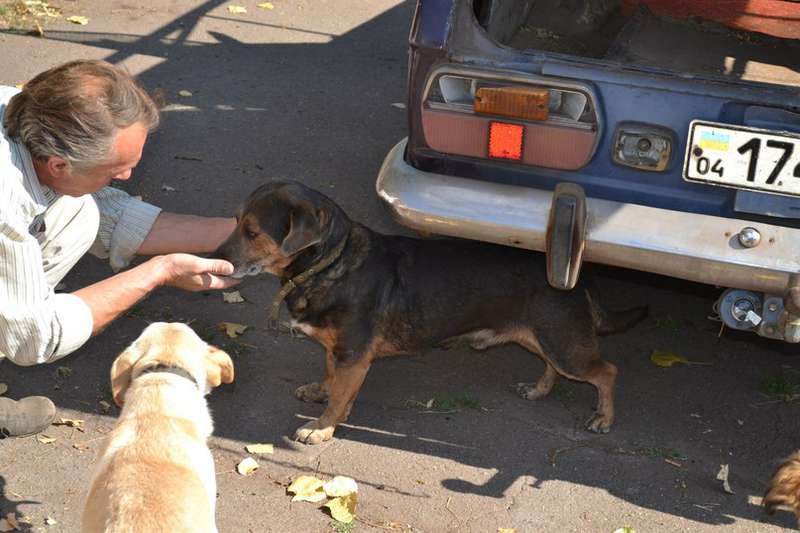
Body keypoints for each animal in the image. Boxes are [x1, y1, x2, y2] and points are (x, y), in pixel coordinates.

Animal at [216, 181, 648, 442]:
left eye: (253, 232)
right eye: (235, 221)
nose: (217, 260)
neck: (330, 264)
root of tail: (580, 278)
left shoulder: (354, 356)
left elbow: (340, 397)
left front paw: (321, 429)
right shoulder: (338, 351)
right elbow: (330, 374)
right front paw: (319, 390)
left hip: (563, 343)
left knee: (606, 372)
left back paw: (603, 418)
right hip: (543, 337)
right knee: (553, 367)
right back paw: (539, 389)